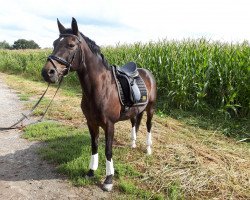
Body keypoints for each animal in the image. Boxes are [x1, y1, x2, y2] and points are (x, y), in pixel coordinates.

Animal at [42, 18, 157, 191]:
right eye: (54, 43)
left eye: (71, 45)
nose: (47, 72)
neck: (101, 88)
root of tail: (147, 73)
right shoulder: (91, 123)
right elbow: (94, 146)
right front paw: (91, 171)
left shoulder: (109, 125)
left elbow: (108, 151)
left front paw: (108, 179)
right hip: (135, 111)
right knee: (134, 123)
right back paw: (133, 143)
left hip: (150, 108)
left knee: (149, 126)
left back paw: (148, 149)